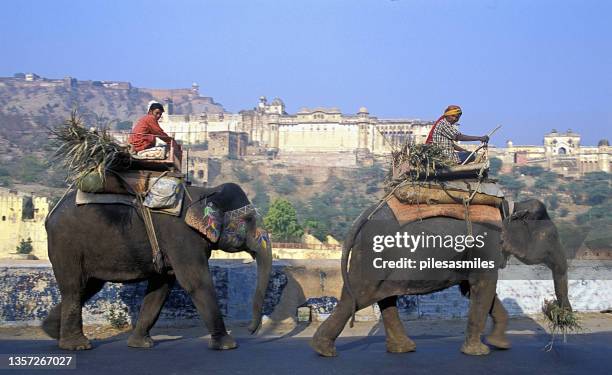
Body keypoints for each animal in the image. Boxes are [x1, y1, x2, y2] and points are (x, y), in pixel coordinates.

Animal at [41, 183, 272, 352]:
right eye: (248, 220)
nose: (251, 330)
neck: (205, 192)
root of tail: (50, 214)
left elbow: (162, 286)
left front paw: (141, 344)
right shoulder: (181, 237)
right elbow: (196, 281)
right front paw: (228, 345)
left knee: (88, 286)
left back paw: (51, 331)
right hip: (66, 244)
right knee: (74, 287)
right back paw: (77, 346)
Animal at [314, 198, 572, 356]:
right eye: (551, 236)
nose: (561, 318)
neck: (510, 206)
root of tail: (361, 217)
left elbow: (473, 289)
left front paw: (501, 344)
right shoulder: (486, 244)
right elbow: (484, 285)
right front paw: (480, 352)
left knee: (384, 297)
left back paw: (403, 349)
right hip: (372, 256)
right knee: (357, 297)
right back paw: (324, 350)